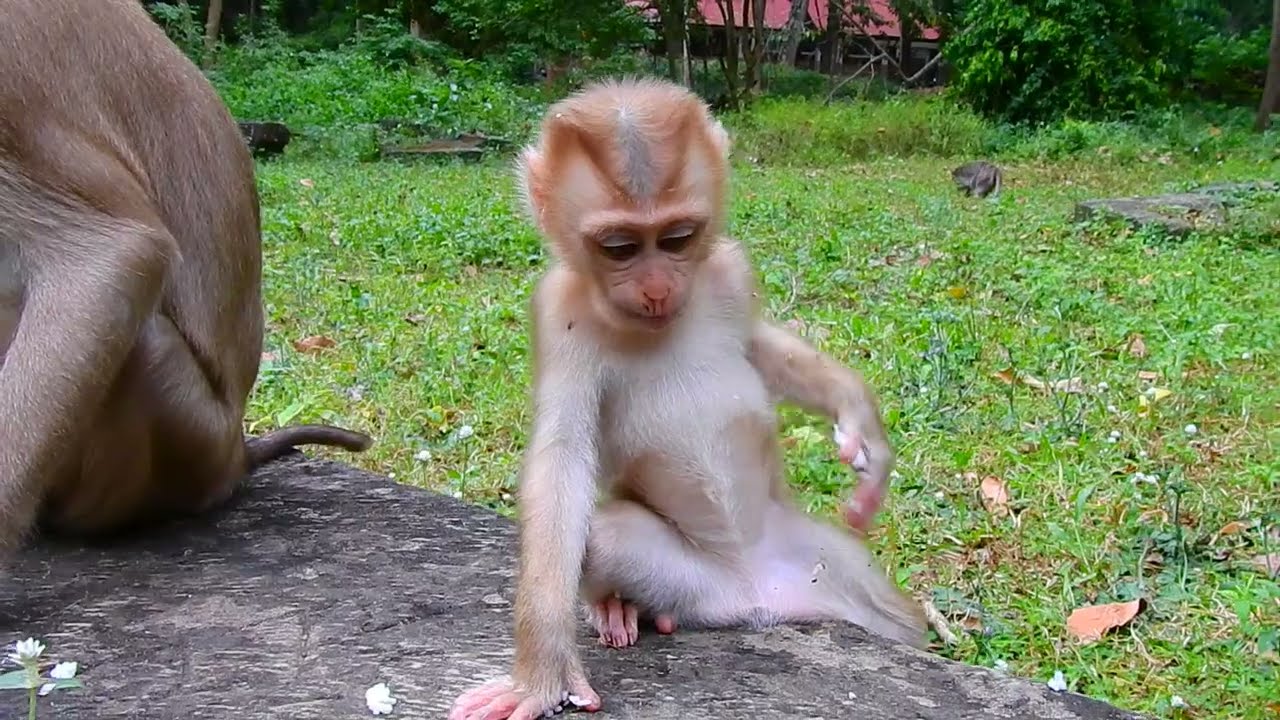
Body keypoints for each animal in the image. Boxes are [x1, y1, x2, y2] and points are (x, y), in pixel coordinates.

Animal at [448, 78, 925, 720]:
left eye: (677, 238)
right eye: (620, 247)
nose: (656, 288)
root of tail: (761, 599)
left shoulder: (727, 269)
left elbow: (757, 345)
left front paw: (859, 421)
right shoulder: (557, 310)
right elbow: (562, 461)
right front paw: (541, 672)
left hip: (821, 565)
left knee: (896, 619)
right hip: (696, 586)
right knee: (607, 534)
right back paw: (623, 609)